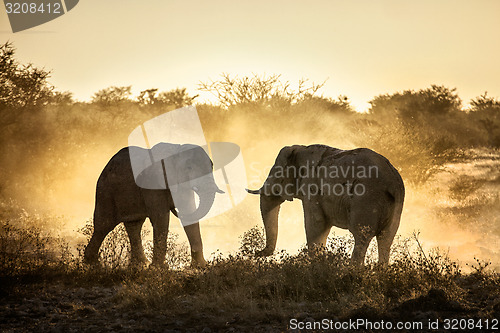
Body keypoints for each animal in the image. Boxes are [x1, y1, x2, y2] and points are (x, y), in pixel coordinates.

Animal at [84, 143, 223, 268]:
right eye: (188, 167)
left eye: (212, 166)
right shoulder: (152, 183)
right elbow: (161, 218)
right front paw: (158, 268)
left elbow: (188, 212)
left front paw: (201, 266)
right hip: (105, 191)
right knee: (103, 225)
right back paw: (93, 264)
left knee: (134, 225)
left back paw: (140, 265)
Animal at [248, 144, 404, 264]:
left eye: (276, 173)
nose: (256, 252)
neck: (302, 148)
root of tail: (392, 182)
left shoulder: (312, 189)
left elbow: (315, 225)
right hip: (395, 205)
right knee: (386, 238)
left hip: (366, 199)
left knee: (361, 236)